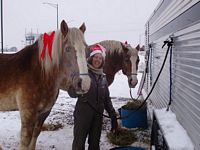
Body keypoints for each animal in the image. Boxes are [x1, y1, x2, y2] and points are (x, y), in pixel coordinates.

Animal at [0, 20, 90, 150]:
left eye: (86, 48)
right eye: (68, 49)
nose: (84, 83)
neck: (40, 73)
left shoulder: (44, 113)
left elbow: (35, 134)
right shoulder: (28, 113)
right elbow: (25, 140)